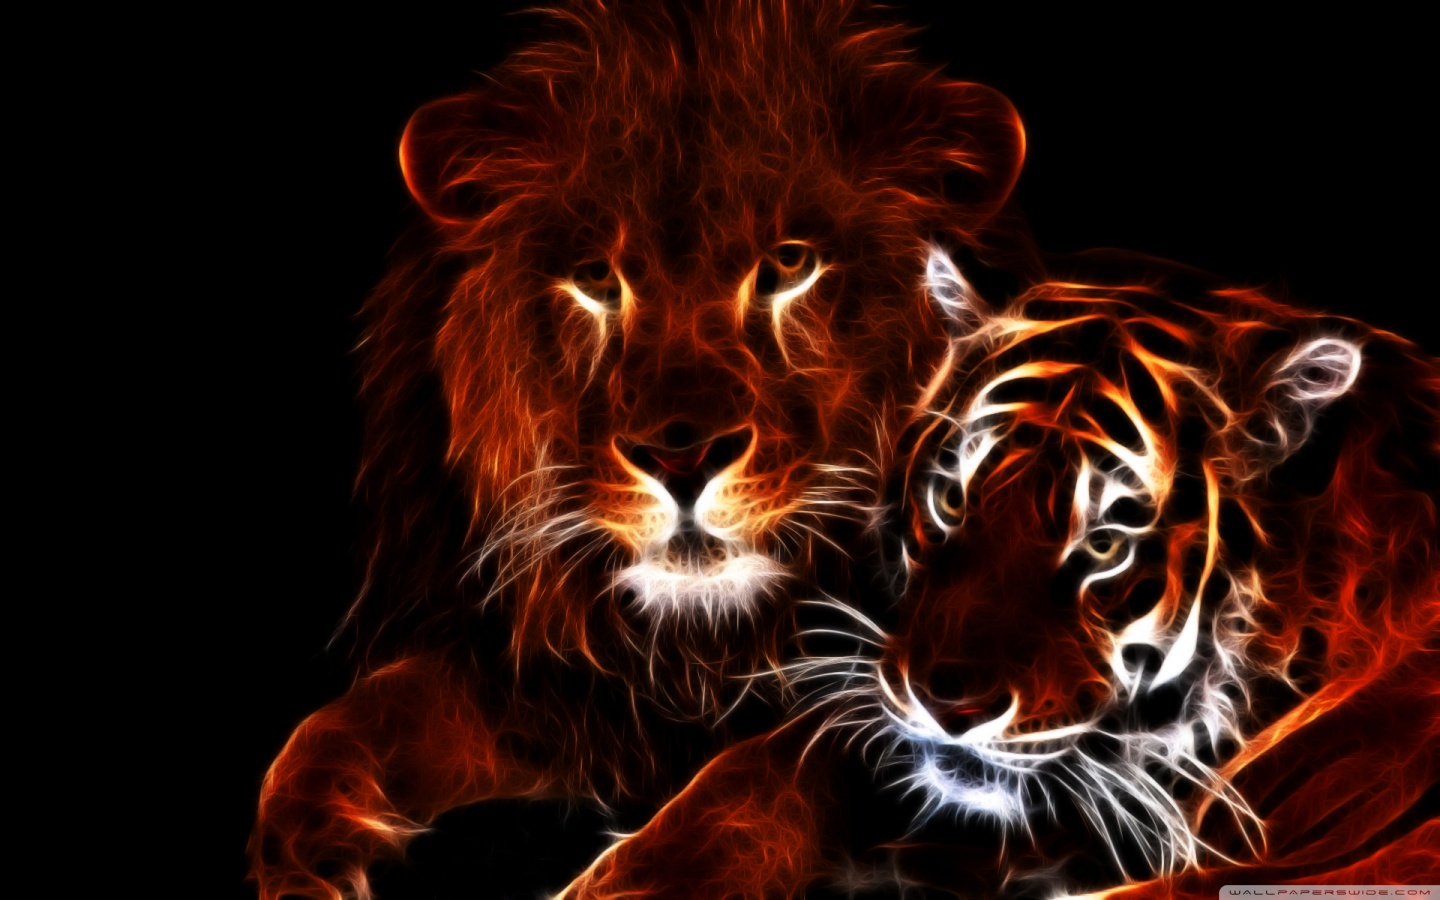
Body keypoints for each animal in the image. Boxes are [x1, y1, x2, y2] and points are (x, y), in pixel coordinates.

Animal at [248, 2, 1028, 897]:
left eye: (790, 264)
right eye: (595, 276)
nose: (681, 461)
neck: (701, 646)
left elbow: (760, 781)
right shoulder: (548, 685)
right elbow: (358, 716)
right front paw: (303, 847)